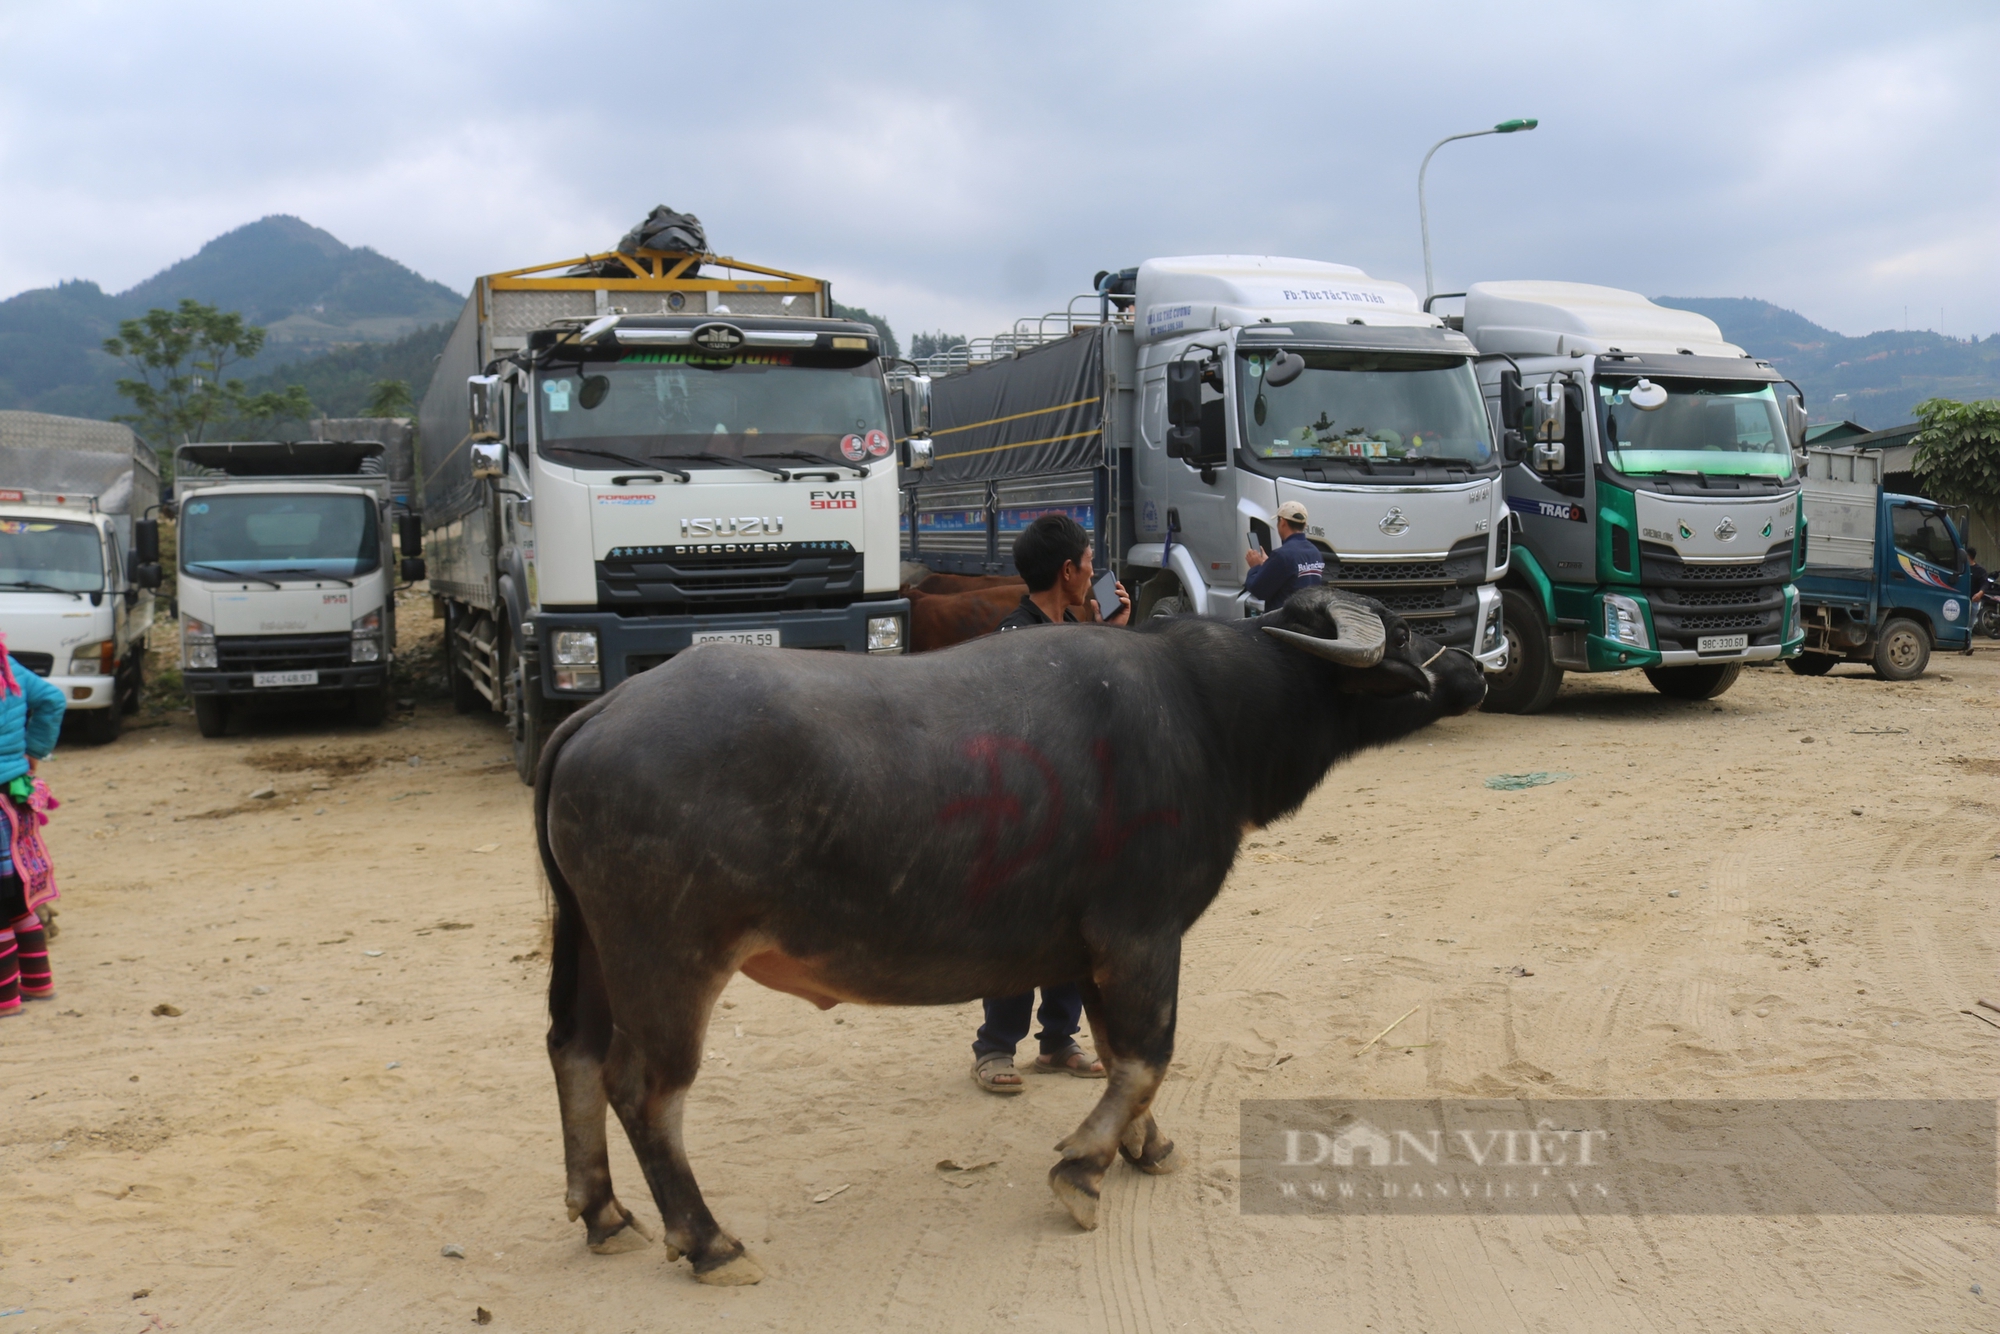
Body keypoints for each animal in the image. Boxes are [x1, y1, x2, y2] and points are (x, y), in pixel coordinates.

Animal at [532, 584, 1488, 1280]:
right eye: (1406, 630)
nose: (1476, 670)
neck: (1207, 714)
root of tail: (599, 713)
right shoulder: (1143, 934)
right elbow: (1151, 1054)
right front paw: (1082, 1169)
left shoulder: (1097, 952)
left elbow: (1119, 1051)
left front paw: (1144, 1146)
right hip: (668, 961)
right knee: (645, 1090)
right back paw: (706, 1242)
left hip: (588, 948)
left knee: (572, 1051)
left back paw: (603, 1211)